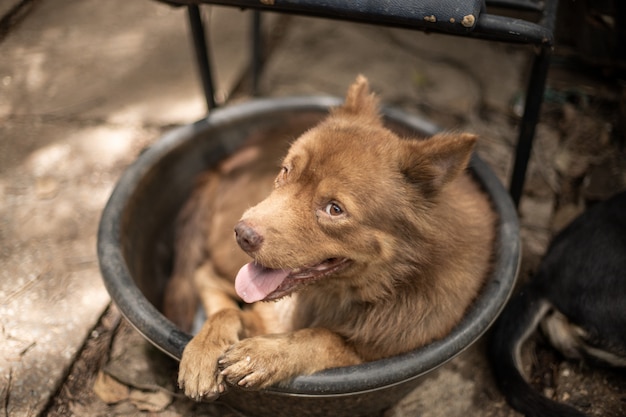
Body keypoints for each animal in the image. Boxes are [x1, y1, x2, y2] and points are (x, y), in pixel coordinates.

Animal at [163, 75, 494, 400]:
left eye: (335, 209)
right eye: (286, 171)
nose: (242, 234)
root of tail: (225, 165)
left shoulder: (377, 356)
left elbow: (323, 337)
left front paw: (263, 354)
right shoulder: (265, 313)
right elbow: (229, 312)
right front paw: (204, 348)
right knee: (204, 274)